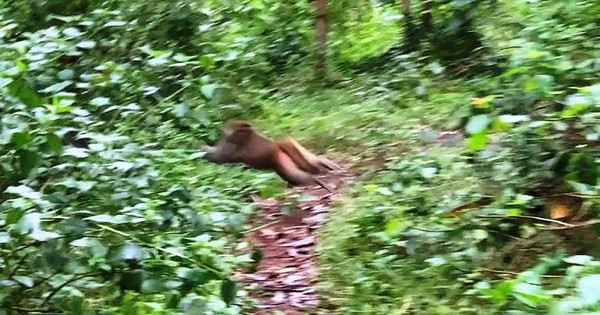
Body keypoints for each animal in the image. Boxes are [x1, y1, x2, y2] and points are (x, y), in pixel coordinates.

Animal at [204, 120, 340, 190]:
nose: (223, 133)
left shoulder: (231, 146)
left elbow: (217, 157)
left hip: (281, 159)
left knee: (295, 175)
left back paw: (315, 179)